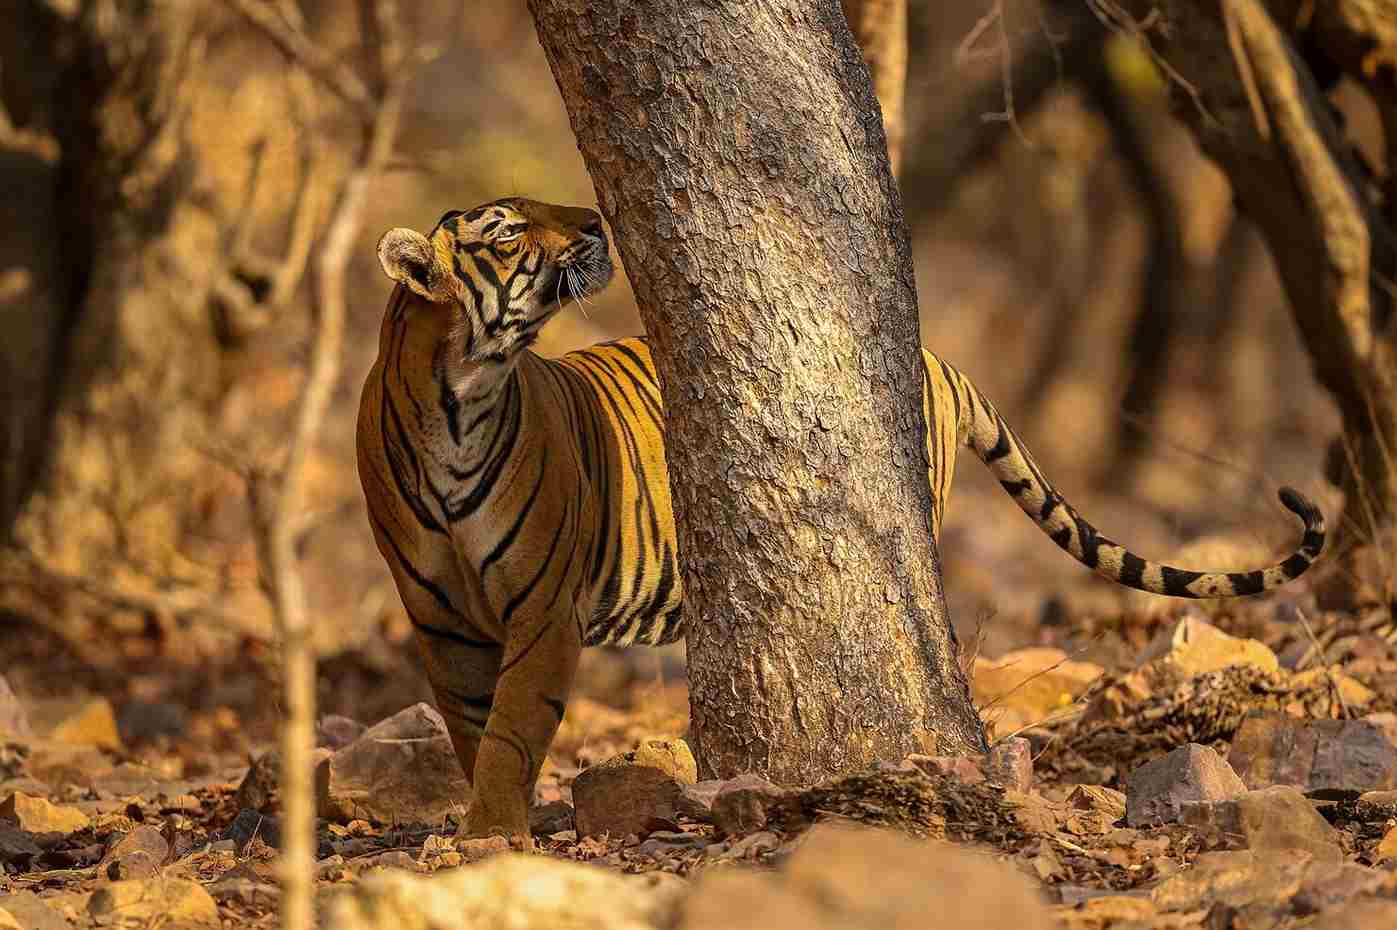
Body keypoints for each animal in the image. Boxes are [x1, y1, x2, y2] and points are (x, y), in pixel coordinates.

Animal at [356, 197, 1325, 839]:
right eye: (507, 231)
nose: (596, 221)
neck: (459, 397)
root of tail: (935, 356)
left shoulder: (545, 607)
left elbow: (514, 726)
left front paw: (493, 832)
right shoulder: (438, 615)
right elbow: (473, 724)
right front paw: (488, 823)